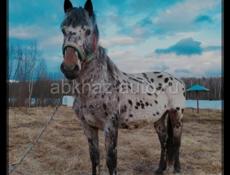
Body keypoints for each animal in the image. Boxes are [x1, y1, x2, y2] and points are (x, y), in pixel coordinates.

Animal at [60, 0, 186, 174]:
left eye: (87, 31)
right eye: (63, 29)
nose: (70, 67)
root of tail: (178, 80)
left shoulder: (110, 127)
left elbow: (111, 161)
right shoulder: (88, 127)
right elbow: (95, 159)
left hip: (176, 115)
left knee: (177, 141)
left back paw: (177, 169)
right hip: (159, 118)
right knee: (164, 141)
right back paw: (160, 169)